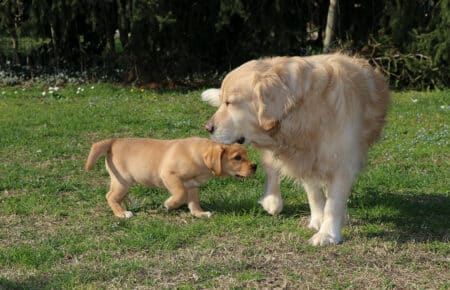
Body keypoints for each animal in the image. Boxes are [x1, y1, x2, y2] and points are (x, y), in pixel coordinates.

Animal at [85, 138, 256, 218]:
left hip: (122, 182)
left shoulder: (192, 185)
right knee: (110, 196)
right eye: (237, 157)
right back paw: (122, 213)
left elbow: (194, 201)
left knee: (117, 196)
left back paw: (124, 208)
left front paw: (199, 213)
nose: (255, 166)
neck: (198, 156)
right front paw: (169, 204)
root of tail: (113, 141)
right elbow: (180, 193)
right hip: (123, 181)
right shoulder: (169, 175)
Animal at [202, 52, 388, 245]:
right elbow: (314, 193)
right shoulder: (303, 158)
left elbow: (333, 202)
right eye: (223, 101)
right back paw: (272, 200)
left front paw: (327, 233)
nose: (207, 128)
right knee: (271, 167)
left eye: (230, 102)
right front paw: (318, 220)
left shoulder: (341, 162)